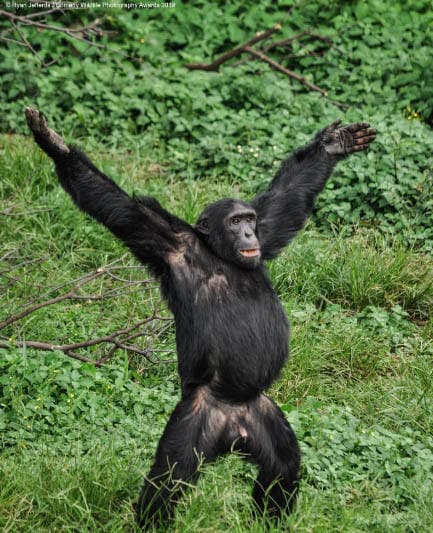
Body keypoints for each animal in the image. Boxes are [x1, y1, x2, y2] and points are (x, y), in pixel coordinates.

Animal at [24, 106, 374, 524]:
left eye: (249, 219)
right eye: (235, 222)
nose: (248, 235)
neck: (222, 257)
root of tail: (234, 428)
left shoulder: (269, 226)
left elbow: (287, 197)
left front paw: (333, 144)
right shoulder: (167, 241)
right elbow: (121, 209)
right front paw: (53, 143)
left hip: (261, 413)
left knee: (283, 466)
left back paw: (267, 520)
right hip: (197, 417)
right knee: (169, 476)